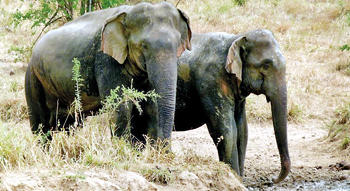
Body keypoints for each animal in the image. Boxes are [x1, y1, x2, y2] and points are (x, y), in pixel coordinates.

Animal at [24, 2, 191, 141]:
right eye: (144, 46)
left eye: (177, 44)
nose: (165, 151)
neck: (127, 13)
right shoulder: (105, 60)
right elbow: (121, 107)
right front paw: (123, 150)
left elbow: (151, 106)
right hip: (33, 78)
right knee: (41, 126)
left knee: (71, 125)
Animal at [131, 29, 290, 184]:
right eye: (266, 65)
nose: (271, 180)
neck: (237, 37)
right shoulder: (211, 82)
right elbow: (227, 131)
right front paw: (235, 178)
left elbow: (242, 131)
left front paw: (238, 180)